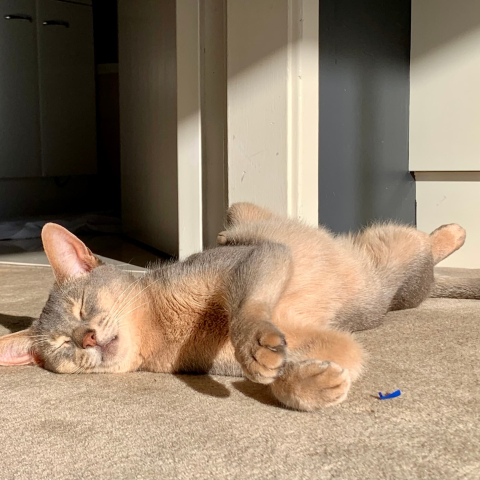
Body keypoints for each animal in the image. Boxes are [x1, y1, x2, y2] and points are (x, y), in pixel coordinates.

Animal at [0, 201, 476, 410]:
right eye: (61, 345)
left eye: (81, 307)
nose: (87, 338)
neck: (165, 327)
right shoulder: (330, 342)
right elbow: (324, 361)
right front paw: (308, 384)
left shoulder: (258, 257)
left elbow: (247, 309)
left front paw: (255, 344)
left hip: (396, 257)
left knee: (426, 244)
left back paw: (453, 231)